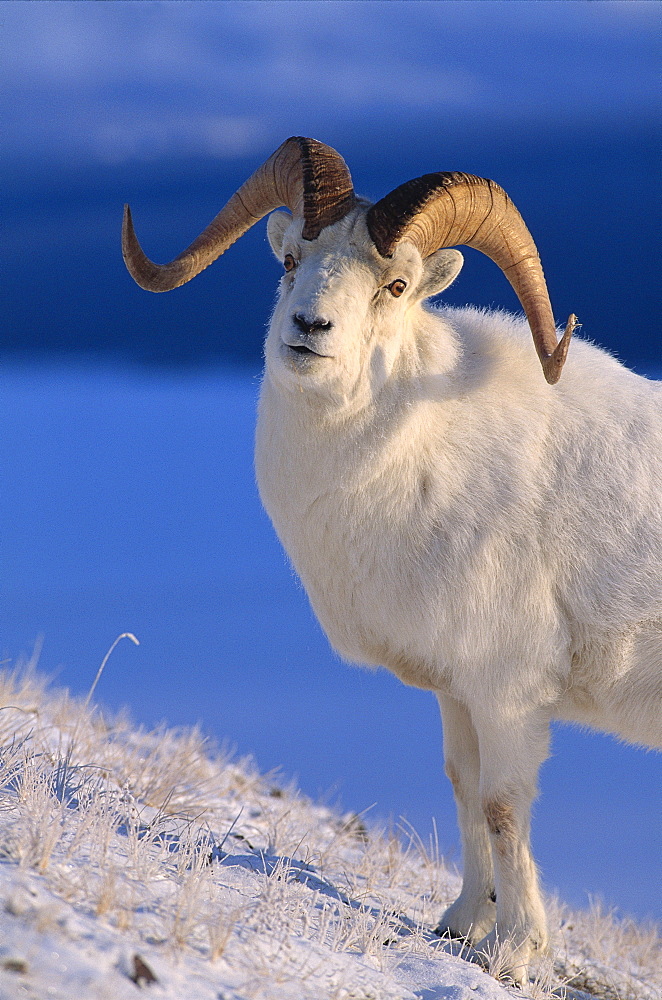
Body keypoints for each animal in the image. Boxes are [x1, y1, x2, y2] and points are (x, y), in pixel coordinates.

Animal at [123, 137, 660, 988]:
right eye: (291, 259)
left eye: (396, 284)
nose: (309, 327)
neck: (420, 452)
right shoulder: (458, 693)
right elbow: (466, 794)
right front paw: (462, 927)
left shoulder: (508, 694)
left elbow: (504, 807)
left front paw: (513, 953)